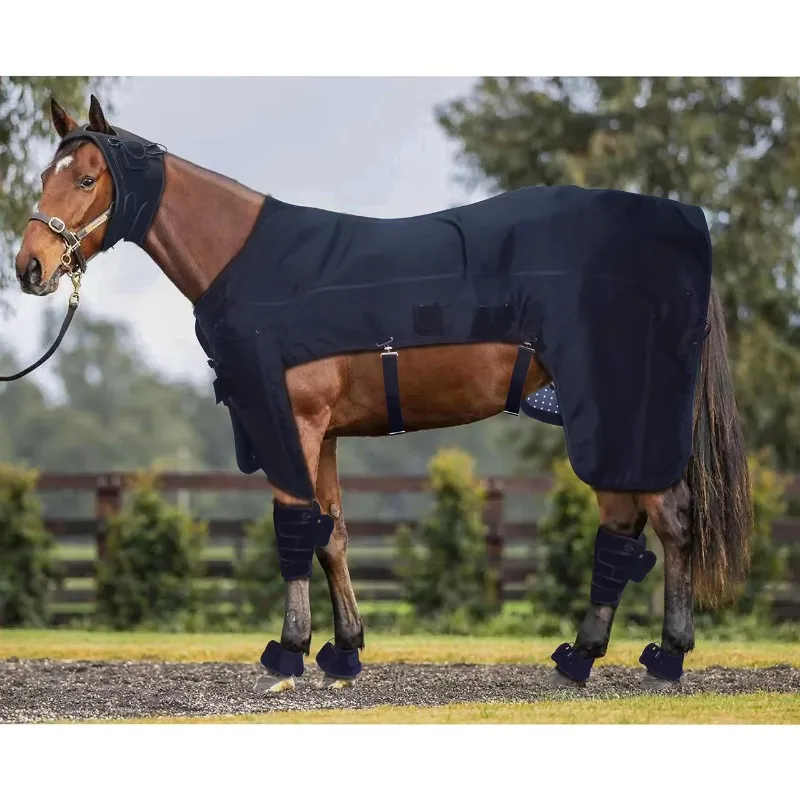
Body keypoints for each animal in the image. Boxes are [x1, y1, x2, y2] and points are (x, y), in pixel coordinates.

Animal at [13, 95, 752, 692]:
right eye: (45, 175)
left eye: (86, 177)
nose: (30, 268)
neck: (255, 264)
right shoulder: (326, 434)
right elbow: (332, 533)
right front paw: (344, 651)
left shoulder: (294, 422)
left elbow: (293, 525)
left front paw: (288, 652)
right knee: (624, 524)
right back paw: (581, 656)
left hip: (620, 413)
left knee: (671, 521)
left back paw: (666, 656)